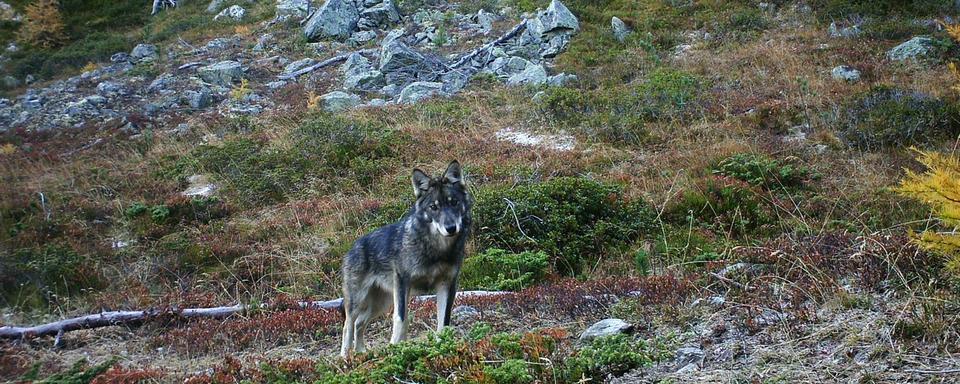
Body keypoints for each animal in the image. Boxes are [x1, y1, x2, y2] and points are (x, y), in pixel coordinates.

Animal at [340, 160, 470, 356]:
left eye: (454, 202)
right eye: (434, 207)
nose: (451, 228)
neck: (436, 250)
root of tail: (353, 247)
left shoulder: (447, 285)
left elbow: (444, 323)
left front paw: (443, 347)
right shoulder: (403, 283)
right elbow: (401, 319)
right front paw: (396, 348)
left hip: (380, 304)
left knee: (359, 324)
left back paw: (361, 353)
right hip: (359, 301)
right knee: (348, 326)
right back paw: (345, 357)